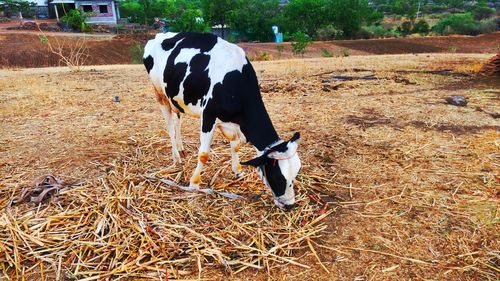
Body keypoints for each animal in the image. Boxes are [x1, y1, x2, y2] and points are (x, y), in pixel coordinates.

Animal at [144, 32, 300, 208]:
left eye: (296, 172)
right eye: (278, 177)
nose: (290, 205)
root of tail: (160, 35)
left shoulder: (231, 123)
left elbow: (236, 145)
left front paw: (237, 171)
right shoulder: (208, 116)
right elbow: (203, 154)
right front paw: (194, 183)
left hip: (176, 98)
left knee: (177, 122)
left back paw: (181, 149)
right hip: (160, 94)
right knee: (170, 126)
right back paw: (176, 157)